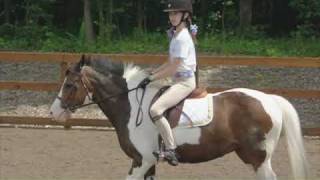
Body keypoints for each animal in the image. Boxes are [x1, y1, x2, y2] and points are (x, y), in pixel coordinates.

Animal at [49, 55, 308, 180]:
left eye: (70, 85)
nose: (53, 113)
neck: (131, 105)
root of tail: (270, 99)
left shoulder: (142, 160)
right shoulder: (149, 164)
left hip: (258, 158)